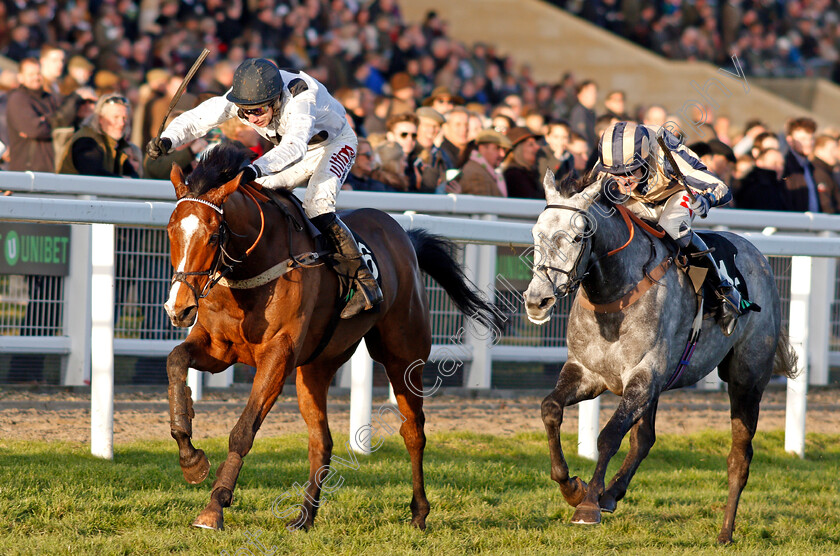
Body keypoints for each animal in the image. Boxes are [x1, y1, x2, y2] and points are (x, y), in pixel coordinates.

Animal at [164, 142, 498, 528]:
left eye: (214, 235)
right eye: (170, 230)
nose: (178, 308)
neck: (251, 272)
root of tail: (405, 236)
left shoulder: (277, 355)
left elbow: (243, 431)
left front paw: (214, 507)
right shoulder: (219, 349)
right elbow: (175, 361)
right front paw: (190, 458)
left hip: (403, 356)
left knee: (413, 431)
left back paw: (418, 513)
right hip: (316, 367)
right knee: (321, 441)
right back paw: (304, 517)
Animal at [520, 170, 796, 544]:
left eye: (578, 236)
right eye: (536, 234)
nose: (538, 300)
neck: (615, 295)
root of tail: (759, 257)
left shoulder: (644, 376)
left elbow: (608, 435)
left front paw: (588, 504)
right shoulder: (588, 373)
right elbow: (550, 409)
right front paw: (573, 488)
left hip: (747, 379)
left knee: (740, 456)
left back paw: (725, 532)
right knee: (644, 439)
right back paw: (612, 492)